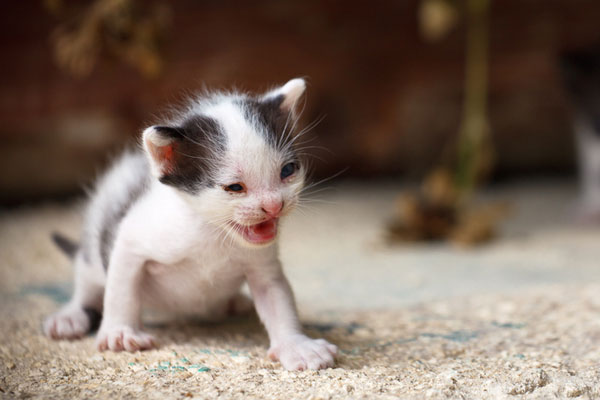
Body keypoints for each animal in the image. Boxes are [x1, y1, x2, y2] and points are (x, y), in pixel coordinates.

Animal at [43, 79, 338, 372]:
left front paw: (296, 346)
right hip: (95, 241)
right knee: (88, 283)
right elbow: (120, 290)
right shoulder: (130, 240)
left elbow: (278, 298)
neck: (213, 233)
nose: (274, 206)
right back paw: (70, 317)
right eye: (234, 187)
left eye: (288, 171)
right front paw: (120, 332)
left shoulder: (262, 264)